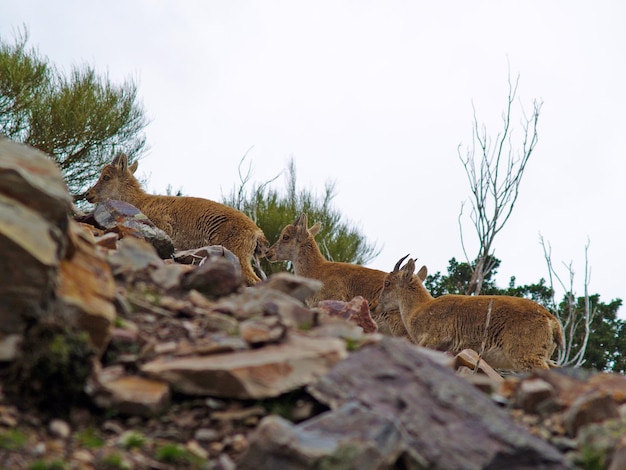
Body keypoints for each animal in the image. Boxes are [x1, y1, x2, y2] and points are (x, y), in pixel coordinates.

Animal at [376, 255, 564, 372]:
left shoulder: (432, 340)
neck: (418, 309)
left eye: (387, 283)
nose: (374, 306)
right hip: (545, 357)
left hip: (526, 355)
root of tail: (551, 321)